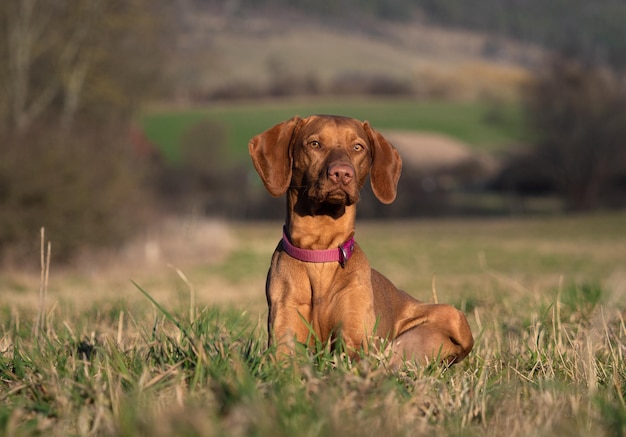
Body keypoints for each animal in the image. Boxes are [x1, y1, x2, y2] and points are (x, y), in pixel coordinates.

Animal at [246, 114, 470, 362]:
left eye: (357, 147)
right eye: (315, 144)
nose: (342, 173)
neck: (320, 251)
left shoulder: (354, 342)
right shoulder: (284, 341)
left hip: (453, 314)